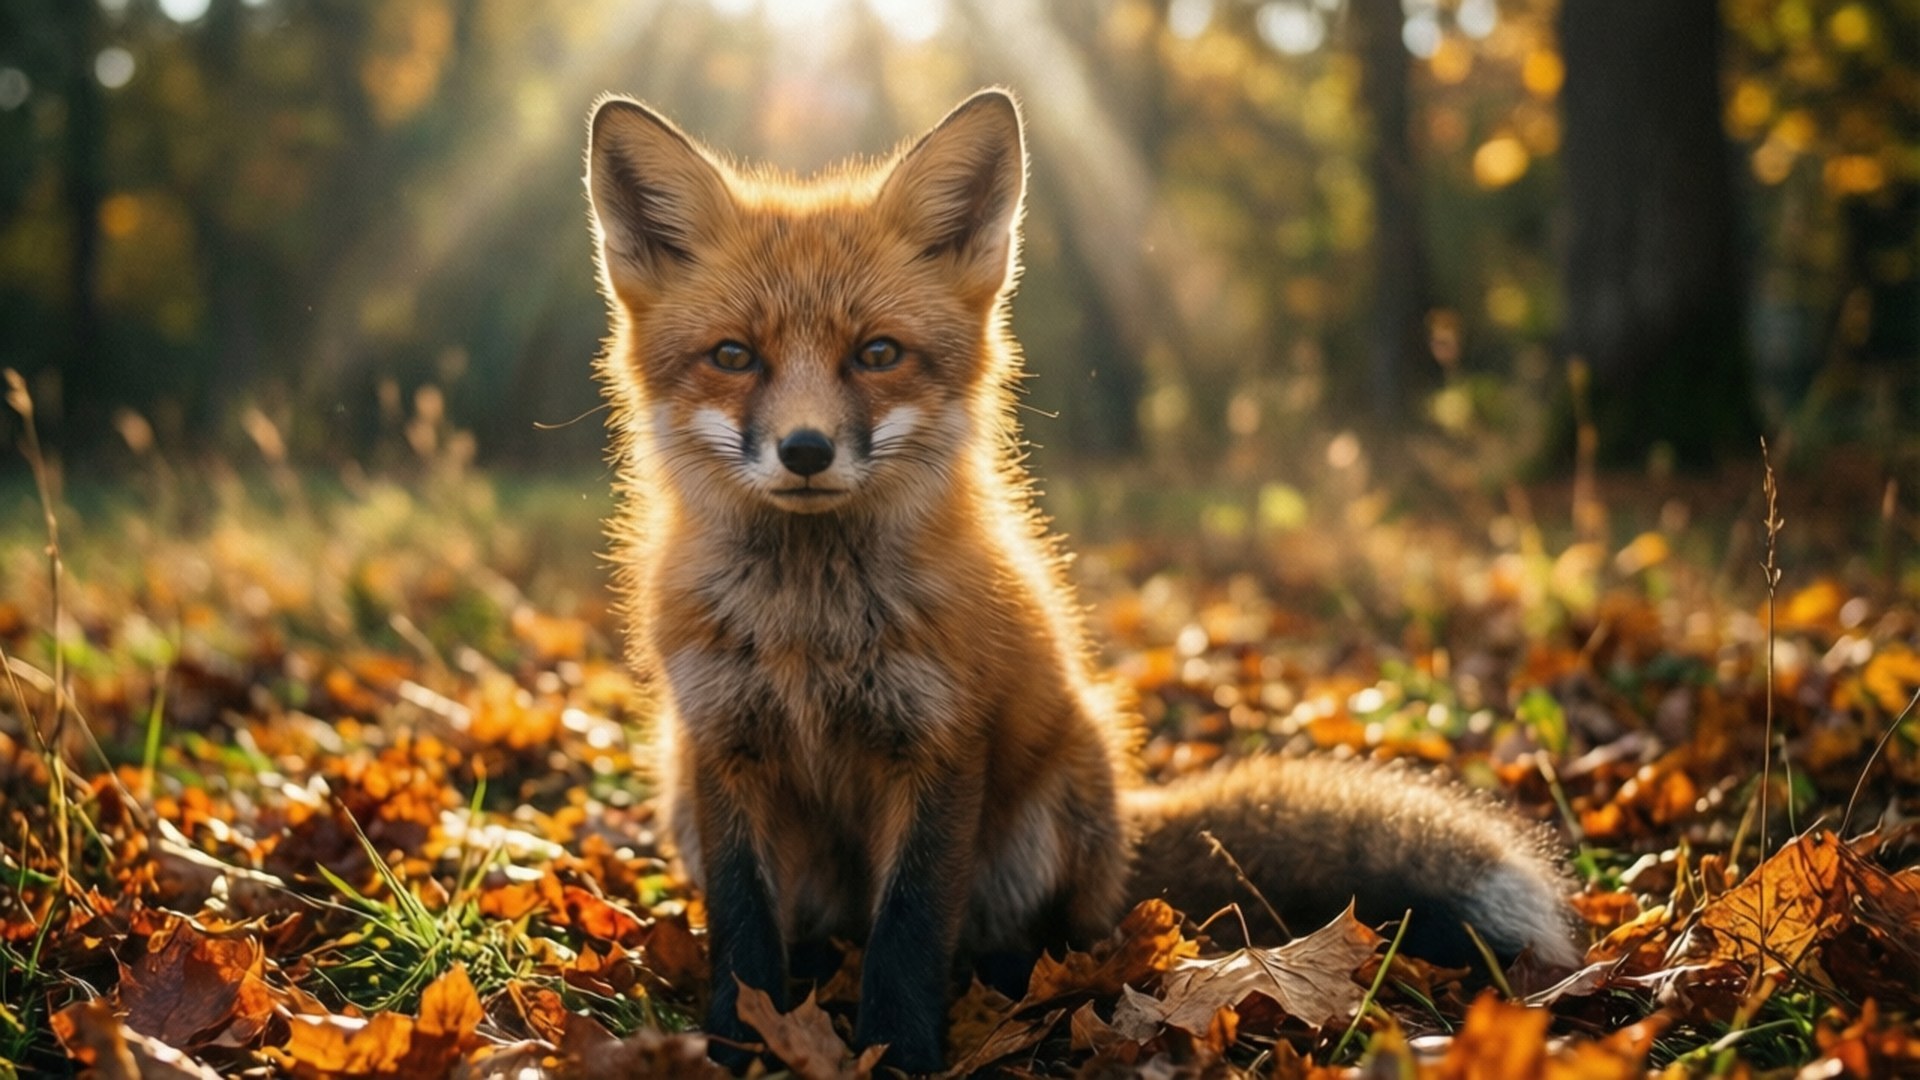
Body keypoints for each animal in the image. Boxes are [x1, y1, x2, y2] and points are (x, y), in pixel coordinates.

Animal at [584, 89, 1579, 1073]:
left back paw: (1023, 993)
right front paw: (737, 1046)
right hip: (682, 793)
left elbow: (909, 931)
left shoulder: (940, 746)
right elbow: (744, 934)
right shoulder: (724, 744)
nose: (804, 450)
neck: (808, 625)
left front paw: (899, 1054)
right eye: (733, 356)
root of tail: (1125, 843)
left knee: (1045, 938)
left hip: (1055, 808)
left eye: (876, 354)